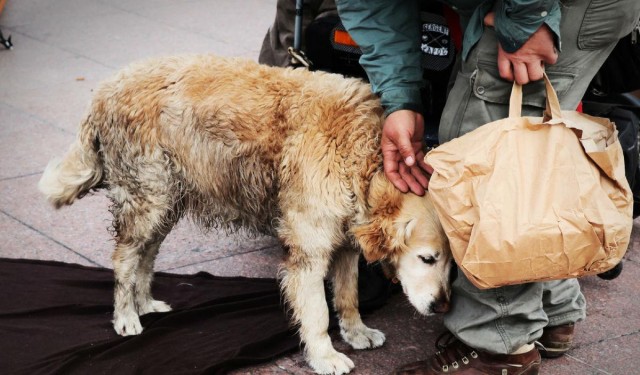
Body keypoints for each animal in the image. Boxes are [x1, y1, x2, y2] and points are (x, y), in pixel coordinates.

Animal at [38, 54, 450, 374]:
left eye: (451, 265)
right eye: (427, 259)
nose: (443, 306)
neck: (361, 152)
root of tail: (106, 87)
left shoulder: (345, 241)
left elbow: (348, 295)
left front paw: (356, 332)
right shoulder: (309, 250)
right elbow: (317, 312)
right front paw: (325, 355)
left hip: (167, 201)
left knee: (146, 255)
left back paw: (145, 304)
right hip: (146, 198)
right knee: (125, 259)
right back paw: (126, 316)